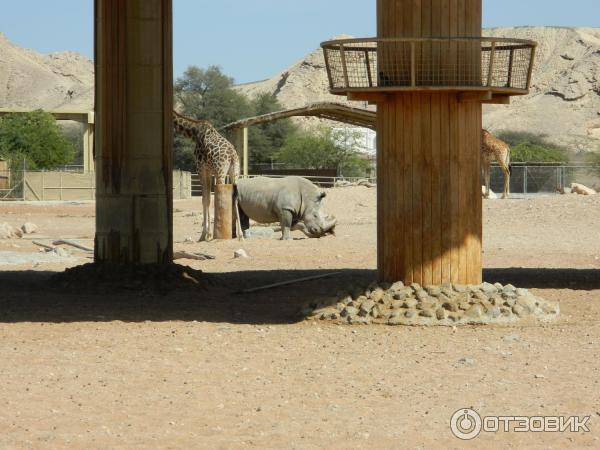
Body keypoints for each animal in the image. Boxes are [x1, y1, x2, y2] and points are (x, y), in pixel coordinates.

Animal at [172, 110, 243, 241]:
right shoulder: (209, 171)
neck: (194, 133)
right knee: (235, 197)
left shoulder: (201, 169)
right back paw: (240, 235)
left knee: (221, 196)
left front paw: (204, 234)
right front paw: (206, 233)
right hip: (235, 173)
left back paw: (219, 235)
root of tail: (232, 156)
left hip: (220, 172)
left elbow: (205, 199)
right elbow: (208, 199)